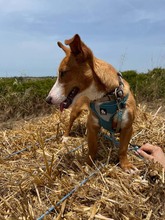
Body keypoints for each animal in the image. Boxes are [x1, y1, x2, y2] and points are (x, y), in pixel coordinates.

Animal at [45, 34, 136, 172]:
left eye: (63, 73)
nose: (48, 99)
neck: (107, 97)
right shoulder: (92, 124)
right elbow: (92, 148)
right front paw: (88, 163)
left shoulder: (127, 127)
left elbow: (123, 148)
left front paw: (125, 164)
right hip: (76, 110)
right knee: (70, 122)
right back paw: (66, 136)